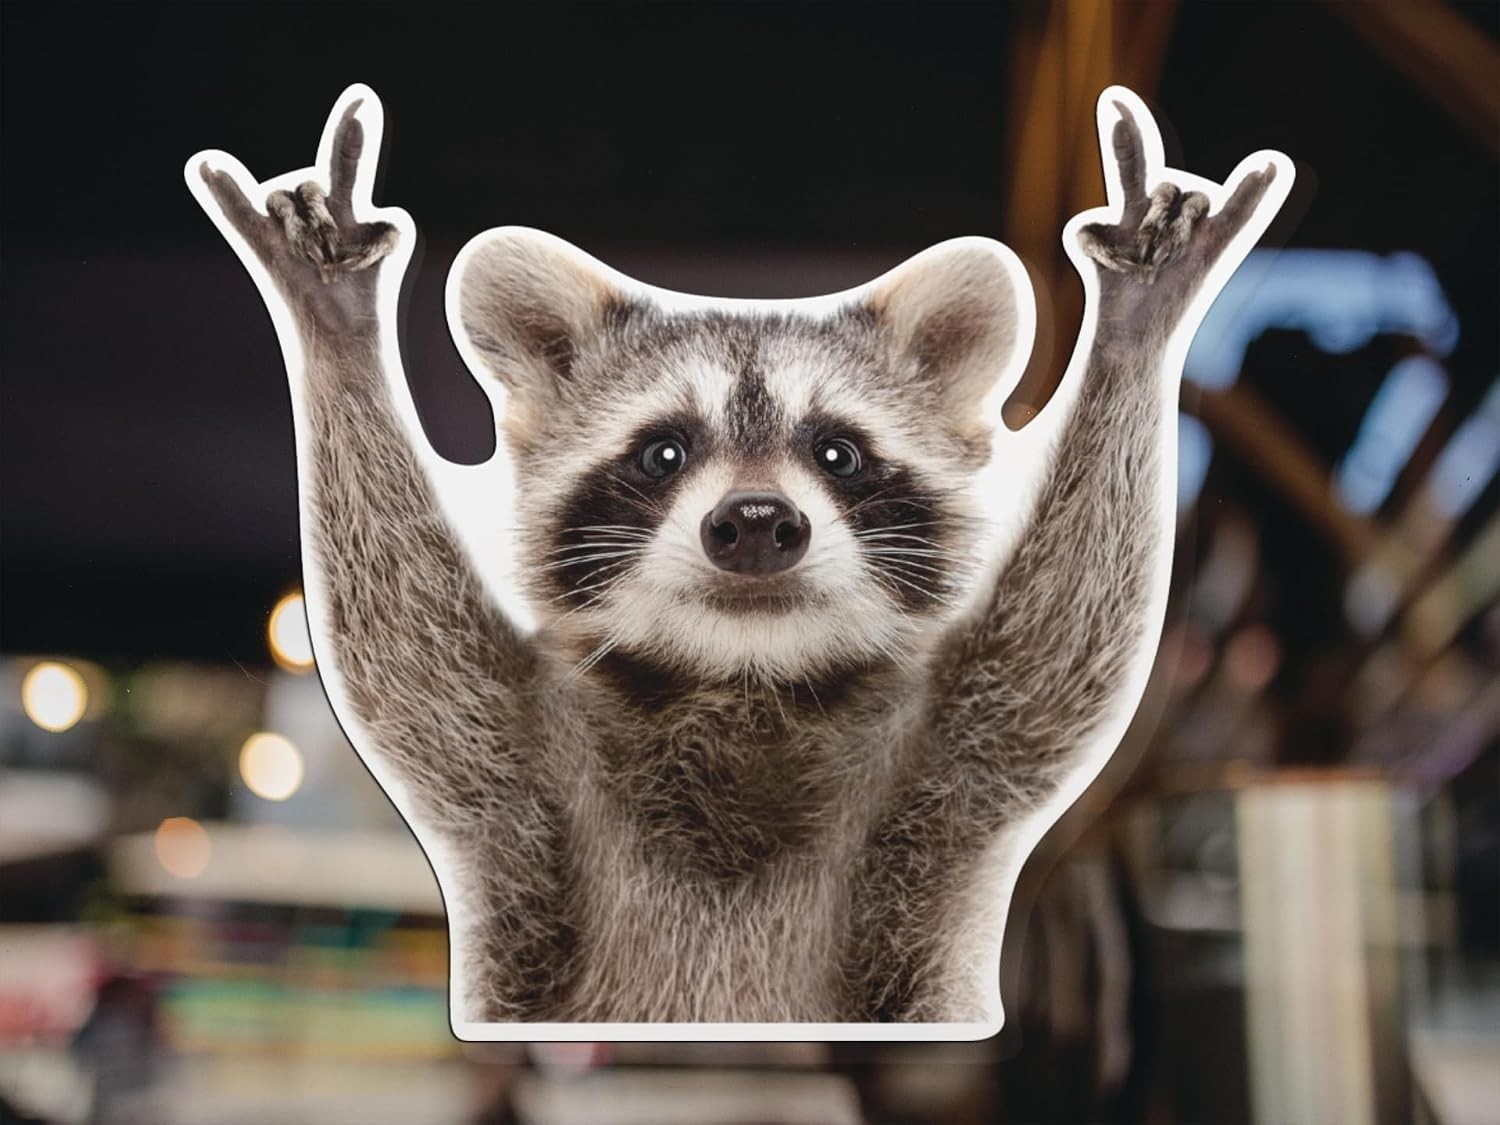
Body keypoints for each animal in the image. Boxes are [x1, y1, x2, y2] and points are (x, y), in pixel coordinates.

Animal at [190, 84, 1289, 1026]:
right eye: (664, 452)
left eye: (837, 451)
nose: (757, 522)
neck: (744, 677)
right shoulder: (522, 774)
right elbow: (406, 655)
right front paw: (336, 330)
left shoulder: (946, 771)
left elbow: (1060, 653)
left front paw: (1135, 329)